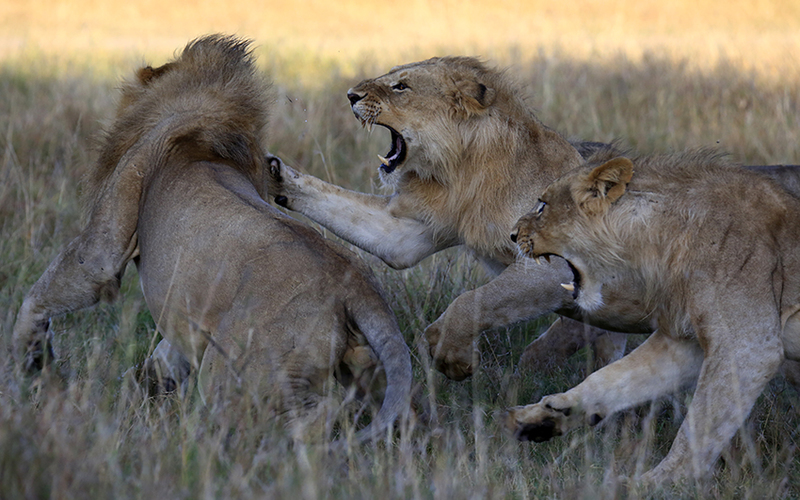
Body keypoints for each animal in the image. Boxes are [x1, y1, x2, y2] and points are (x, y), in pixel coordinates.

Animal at [270, 57, 636, 378]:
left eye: (401, 86)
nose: (350, 95)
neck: (464, 170)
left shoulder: (558, 265)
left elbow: (472, 300)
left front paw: (451, 355)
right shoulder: (407, 231)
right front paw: (274, 171)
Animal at [506, 150, 800, 482]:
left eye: (542, 205)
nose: (513, 235)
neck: (659, 239)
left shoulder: (749, 345)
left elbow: (699, 426)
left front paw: (657, 483)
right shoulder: (684, 341)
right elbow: (613, 377)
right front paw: (545, 417)